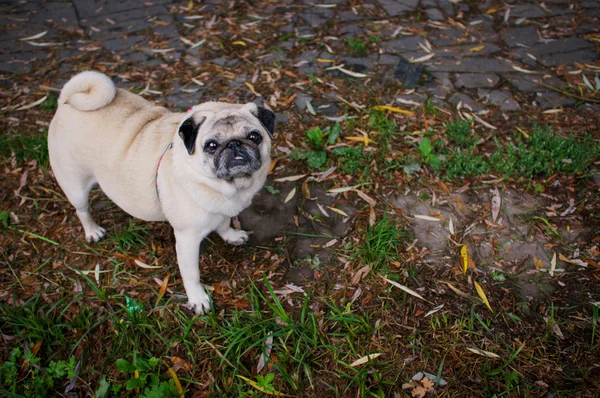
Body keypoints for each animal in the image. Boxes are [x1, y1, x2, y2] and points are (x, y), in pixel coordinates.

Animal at [49, 71, 274, 314]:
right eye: (211, 145)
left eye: (254, 137)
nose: (234, 145)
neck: (228, 188)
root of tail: (65, 102)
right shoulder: (187, 239)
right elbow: (191, 274)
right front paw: (197, 299)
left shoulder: (220, 209)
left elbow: (223, 224)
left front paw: (231, 235)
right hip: (75, 185)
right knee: (82, 210)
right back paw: (92, 231)